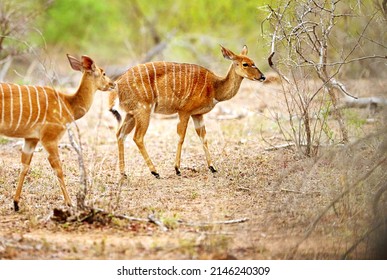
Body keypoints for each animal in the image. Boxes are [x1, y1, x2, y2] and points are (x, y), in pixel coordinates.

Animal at [0, 54, 114, 211]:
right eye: (103, 73)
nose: (113, 84)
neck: (67, 104)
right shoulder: (50, 139)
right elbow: (58, 169)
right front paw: (70, 203)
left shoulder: (31, 139)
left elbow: (24, 166)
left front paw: (16, 203)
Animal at [110, 44, 266, 178]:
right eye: (245, 64)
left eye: (253, 62)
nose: (263, 77)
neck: (214, 87)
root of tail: (118, 83)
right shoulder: (184, 111)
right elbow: (181, 137)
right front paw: (177, 169)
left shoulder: (197, 114)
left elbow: (203, 137)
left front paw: (212, 167)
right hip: (143, 111)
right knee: (137, 137)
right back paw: (155, 172)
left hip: (131, 113)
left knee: (120, 134)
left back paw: (124, 173)